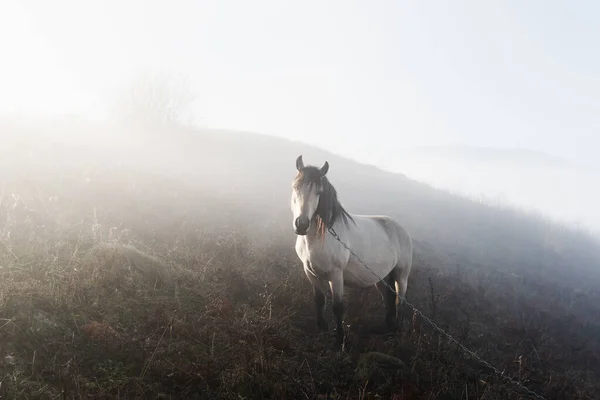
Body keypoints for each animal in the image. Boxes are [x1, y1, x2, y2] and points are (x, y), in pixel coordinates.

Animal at [290, 155, 412, 342]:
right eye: (295, 187)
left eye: (319, 192)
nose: (301, 225)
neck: (320, 237)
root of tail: (402, 229)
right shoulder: (310, 272)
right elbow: (319, 300)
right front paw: (322, 328)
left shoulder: (335, 274)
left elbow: (338, 307)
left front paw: (339, 338)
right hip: (382, 279)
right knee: (388, 300)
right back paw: (388, 329)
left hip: (401, 276)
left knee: (400, 302)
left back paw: (396, 330)